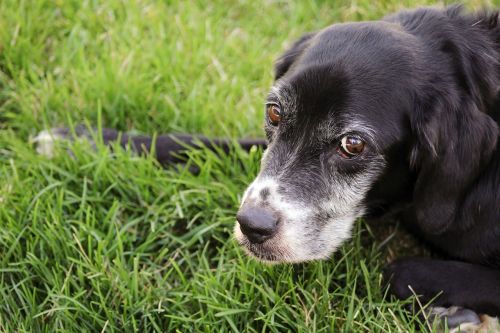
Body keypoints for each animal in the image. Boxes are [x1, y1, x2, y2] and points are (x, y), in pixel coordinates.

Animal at [37, 3, 500, 328]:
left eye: (353, 144)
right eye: (275, 112)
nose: (252, 226)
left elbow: (398, 271)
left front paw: (459, 313)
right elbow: (204, 143)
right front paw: (81, 141)